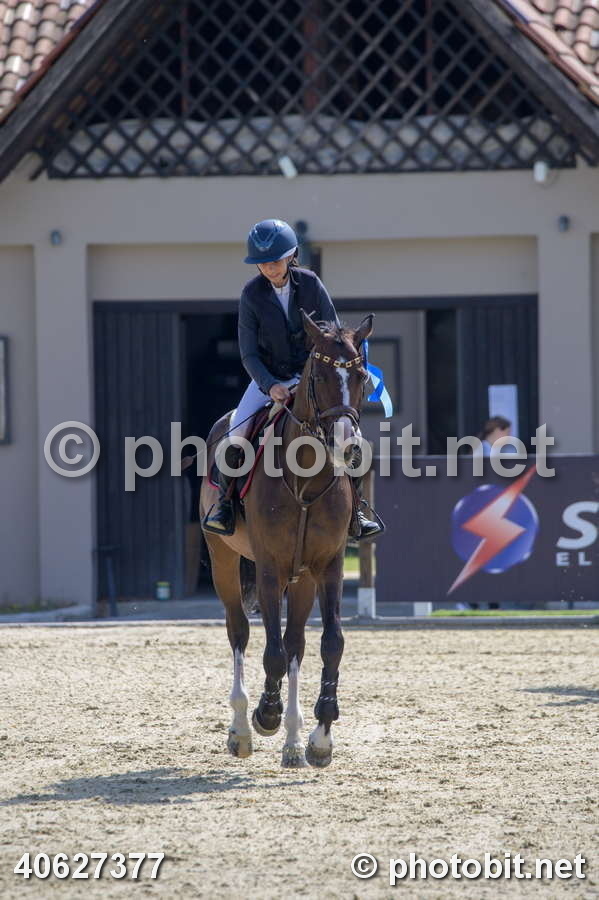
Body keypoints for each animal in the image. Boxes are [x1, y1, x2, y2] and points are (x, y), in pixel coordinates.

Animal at [199, 311, 373, 768]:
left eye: (362, 376)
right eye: (321, 375)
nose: (348, 448)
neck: (306, 478)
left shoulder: (328, 567)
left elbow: (329, 644)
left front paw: (320, 736)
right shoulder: (269, 569)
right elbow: (271, 654)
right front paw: (266, 714)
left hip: (303, 579)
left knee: (295, 642)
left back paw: (293, 742)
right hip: (225, 562)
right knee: (240, 632)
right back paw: (242, 729)